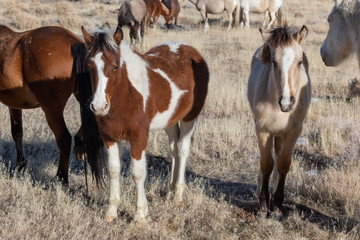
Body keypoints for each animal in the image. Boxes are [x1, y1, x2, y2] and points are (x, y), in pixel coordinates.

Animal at [0, 24, 94, 184]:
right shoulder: (14, 104)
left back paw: (61, 177)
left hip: (52, 110)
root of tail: (74, 42)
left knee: (64, 138)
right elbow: (17, 132)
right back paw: (81, 146)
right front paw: (20, 166)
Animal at [77, 25, 210, 221]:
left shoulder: (138, 137)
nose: (99, 107)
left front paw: (140, 215)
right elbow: (113, 170)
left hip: (189, 118)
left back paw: (178, 195)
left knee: (183, 150)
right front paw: (111, 212)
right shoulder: (109, 137)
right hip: (170, 121)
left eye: (115, 66)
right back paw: (170, 190)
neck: (126, 94)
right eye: (89, 65)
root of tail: (190, 49)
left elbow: (138, 172)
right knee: (174, 150)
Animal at [248, 26, 312, 218]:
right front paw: (263, 206)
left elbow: (283, 163)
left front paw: (276, 206)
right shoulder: (263, 130)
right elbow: (266, 163)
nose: (286, 102)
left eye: (300, 62)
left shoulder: (293, 132)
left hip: (281, 135)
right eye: (274, 62)